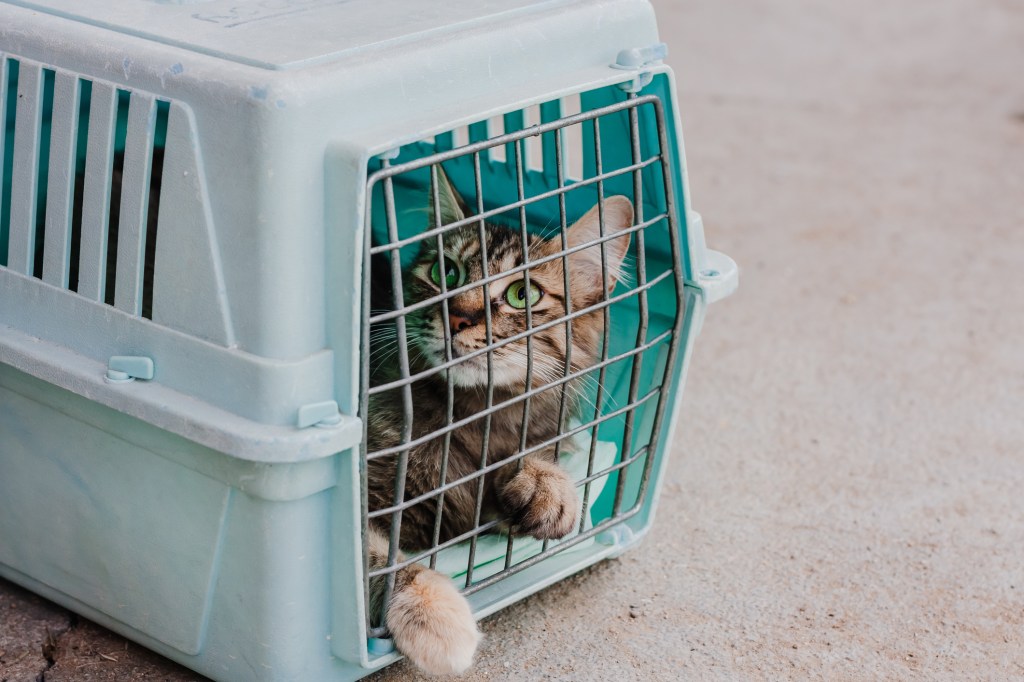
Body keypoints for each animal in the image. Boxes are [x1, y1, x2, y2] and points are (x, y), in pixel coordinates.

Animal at [364, 165, 626, 675]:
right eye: (445, 272)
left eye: (523, 295)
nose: (458, 317)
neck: (474, 419)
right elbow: (378, 560)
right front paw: (434, 614)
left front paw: (550, 486)